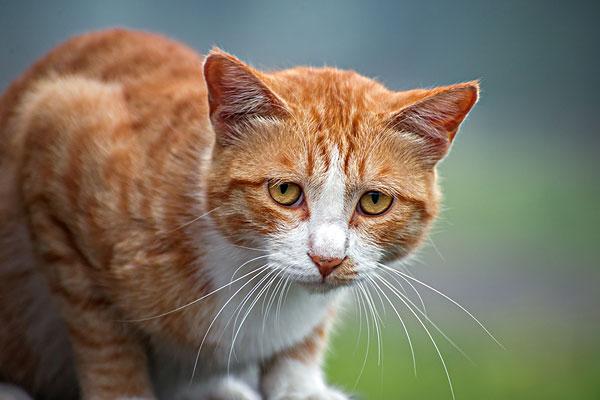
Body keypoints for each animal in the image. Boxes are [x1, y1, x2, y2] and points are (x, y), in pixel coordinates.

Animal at [0, 28, 478, 400]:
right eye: (285, 192)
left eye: (374, 202)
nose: (327, 260)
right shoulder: (53, 130)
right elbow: (105, 344)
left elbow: (302, 347)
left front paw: (300, 386)